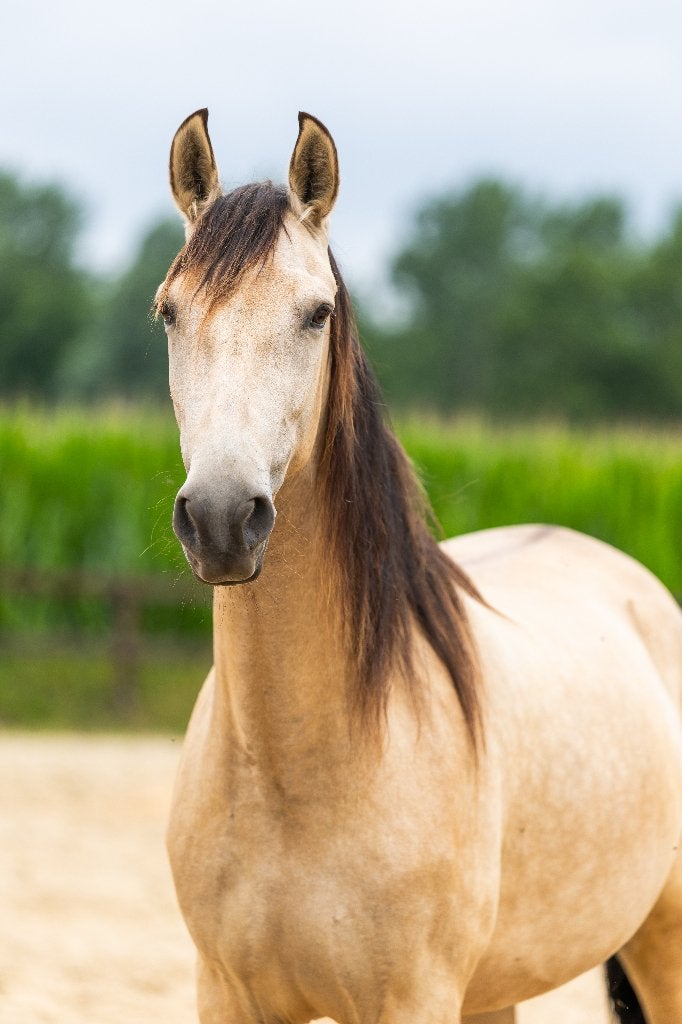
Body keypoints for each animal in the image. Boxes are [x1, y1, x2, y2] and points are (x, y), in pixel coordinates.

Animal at [157, 108, 682, 1024]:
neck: (293, 773)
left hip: (663, 941)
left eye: (316, 314)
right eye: (168, 313)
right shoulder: (227, 995)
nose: (221, 518)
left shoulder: (414, 998)